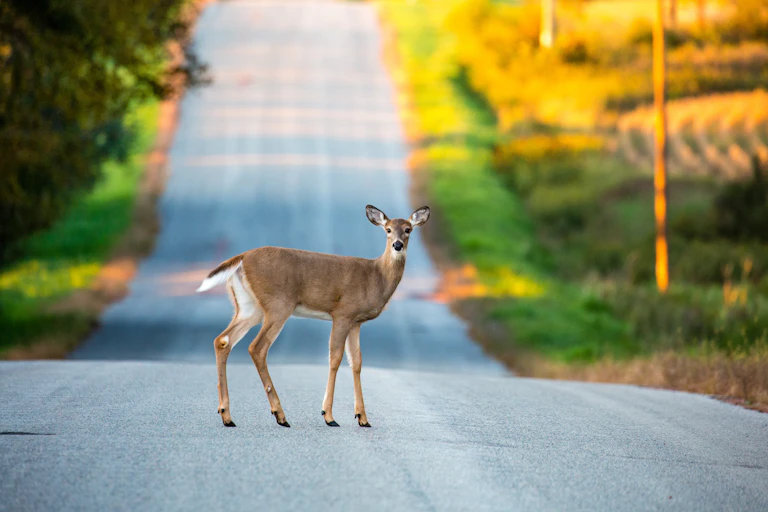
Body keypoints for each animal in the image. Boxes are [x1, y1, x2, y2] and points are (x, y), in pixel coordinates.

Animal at [196, 204, 430, 428]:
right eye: (388, 230)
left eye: (408, 229)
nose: (397, 245)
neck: (376, 277)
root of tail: (242, 258)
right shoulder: (343, 313)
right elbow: (335, 358)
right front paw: (329, 416)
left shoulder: (356, 322)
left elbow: (356, 362)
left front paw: (362, 418)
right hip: (278, 304)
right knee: (257, 347)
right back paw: (280, 415)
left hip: (248, 306)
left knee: (223, 340)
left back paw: (227, 416)